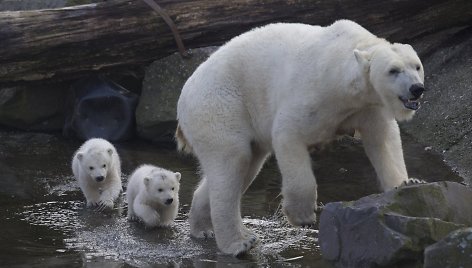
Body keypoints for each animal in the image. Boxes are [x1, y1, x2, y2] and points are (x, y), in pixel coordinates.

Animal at [175, 19, 426, 255]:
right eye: (393, 70)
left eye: (417, 66)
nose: (417, 88)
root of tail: (184, 97)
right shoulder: (316, 92)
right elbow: (287, 133)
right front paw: (302, 216)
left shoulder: (367, 106)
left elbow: (383, 138)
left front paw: (408, 182)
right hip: (221, 107)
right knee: (233, 160)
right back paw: (240, 242)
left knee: (246, 166)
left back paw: (202, 228)